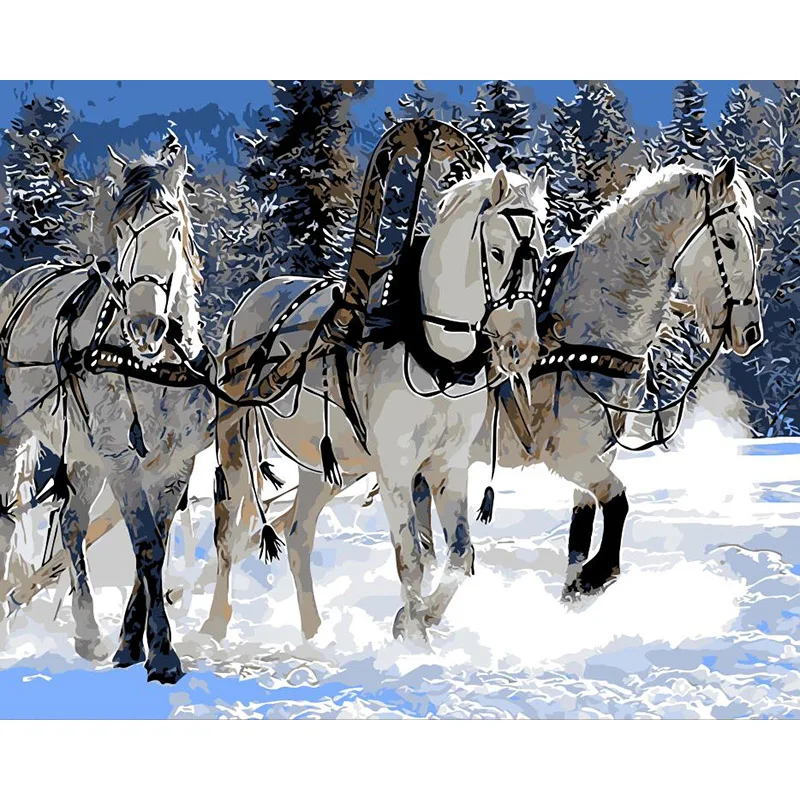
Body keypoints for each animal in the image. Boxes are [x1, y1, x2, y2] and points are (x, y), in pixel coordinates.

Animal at [0, 143, 216, 683]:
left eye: (173, 228)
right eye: (120, 230)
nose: (145, 324)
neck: (152, 367)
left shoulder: (174, 462)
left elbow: (155, 543)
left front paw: (129, 642)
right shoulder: (122, 458)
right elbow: (146, 545)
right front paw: (161, 653)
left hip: (82, 453)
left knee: (71, 524)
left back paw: (86, 630)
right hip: (12, 434)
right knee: (8, 518)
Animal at [202, 162, 550, 645]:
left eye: (541, 253)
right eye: (497, 252)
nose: (522, 346)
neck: (433, 352)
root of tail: (254, 296)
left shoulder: (448, 464)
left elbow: (460, 554)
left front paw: (420, 618)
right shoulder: (397, 468)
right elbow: (412, 559)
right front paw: (415, 639)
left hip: (328, 466)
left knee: (298, 536)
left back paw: (314, 633)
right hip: (238, 439)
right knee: (228, 532)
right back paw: (215, 624)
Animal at [460, 157, 763, 598]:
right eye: (727, 240)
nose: (751, 331)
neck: (585, 333)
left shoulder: (599, 453)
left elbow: (582, 527)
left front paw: (576, 584)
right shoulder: (570, 455)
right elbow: (618, 501)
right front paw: (600, 571)